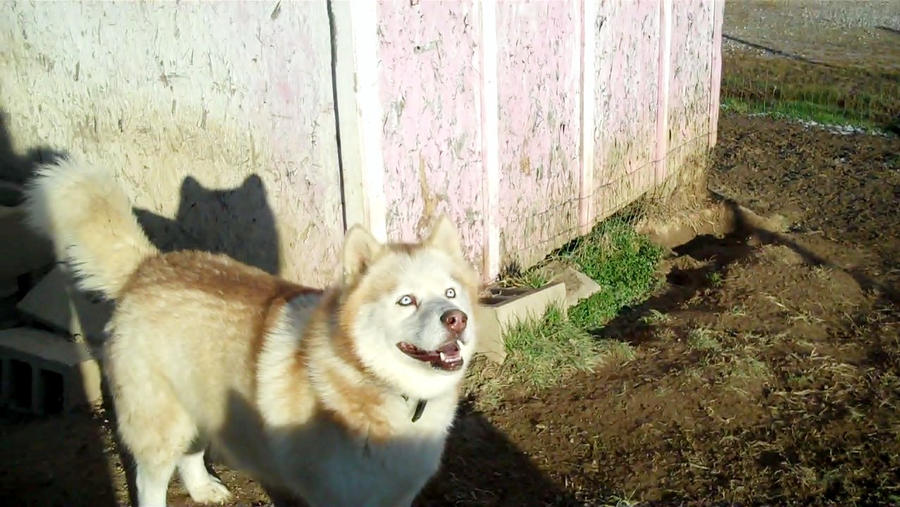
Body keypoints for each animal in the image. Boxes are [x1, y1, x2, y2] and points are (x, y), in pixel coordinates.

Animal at [22, 158, 478, 504]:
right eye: (406, 300)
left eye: (450, 292)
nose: (456, 318)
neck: (381, 388)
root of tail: (148, 266)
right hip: (162, 423)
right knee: (150, 480)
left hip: (207, 400)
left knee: (192, 452)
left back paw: (203, 489)